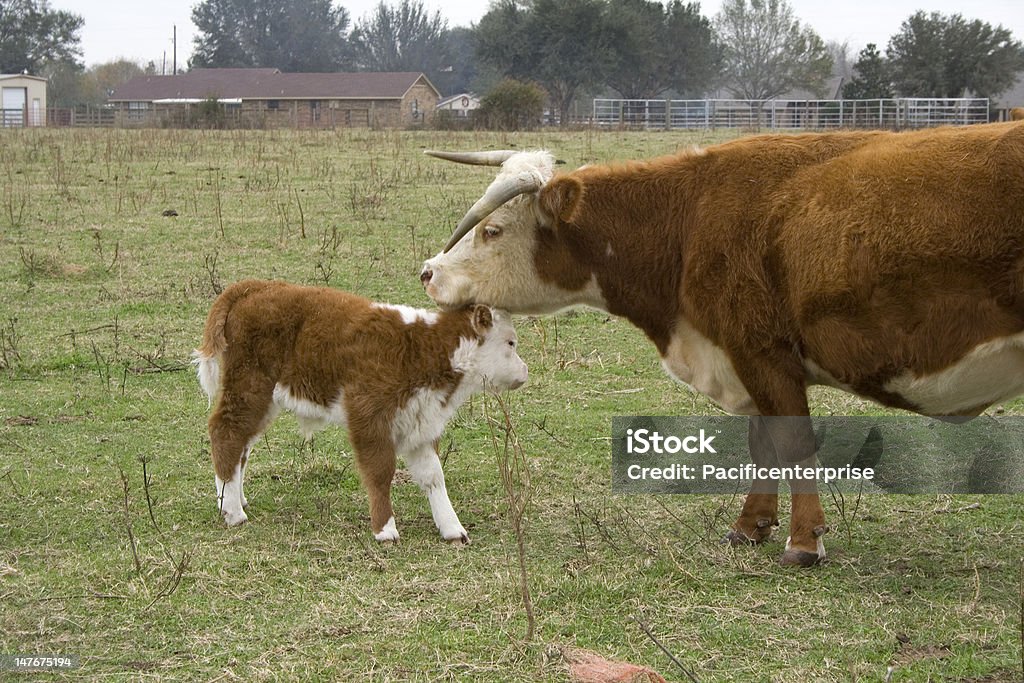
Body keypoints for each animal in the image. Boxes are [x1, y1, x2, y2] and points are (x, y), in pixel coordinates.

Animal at [192, 280, 528, 540]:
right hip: (249, 386)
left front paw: (452, 529)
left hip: (263, 399)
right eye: (510, 342)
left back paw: (233, 499)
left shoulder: (420, 422)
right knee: (226, 432)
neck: (421, 350)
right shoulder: (369, 416)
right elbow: (380, 471)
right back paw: (232, 511)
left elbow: (434, 476)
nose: (525, 371)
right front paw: (385, 530)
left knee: (242, 444)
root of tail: (254, 286)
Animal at [419, 121, 1024, 565]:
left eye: (492, 230)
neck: (689, 219)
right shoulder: (742, 359)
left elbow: (793, 443)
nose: (428, 272)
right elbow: (764, 444)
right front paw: (751, 525)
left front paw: (803, 542)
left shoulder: (762, 353)